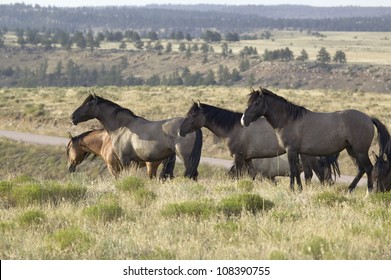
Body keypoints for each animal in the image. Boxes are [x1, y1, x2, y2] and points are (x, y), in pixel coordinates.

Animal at [71, 93, 204, 180]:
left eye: (88, 104)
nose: (73, 117)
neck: (122, 127)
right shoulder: (134, 162)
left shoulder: (124, 160)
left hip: (186, 157)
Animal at [178, 101, 340, 183]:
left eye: (193, 115)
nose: (180, 131)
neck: (235, 128)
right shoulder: (248, 159)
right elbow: (251, 176)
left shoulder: (239, 157)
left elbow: (238, 176)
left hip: (308, 157)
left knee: (313, 175)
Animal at [243, 87, 390, 192]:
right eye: (248, 102)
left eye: (256, 103)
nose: (243, 120)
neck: (289, 119)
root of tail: (369, 118)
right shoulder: (298, 152)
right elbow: (298, 171)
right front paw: (299, 189)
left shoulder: (291, 150)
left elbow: (293, 170)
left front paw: (292, 190)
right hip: (351, 150)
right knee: (361, 170)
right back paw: (349, 191)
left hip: (360, 151)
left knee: (368, 168)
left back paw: (369, 193)